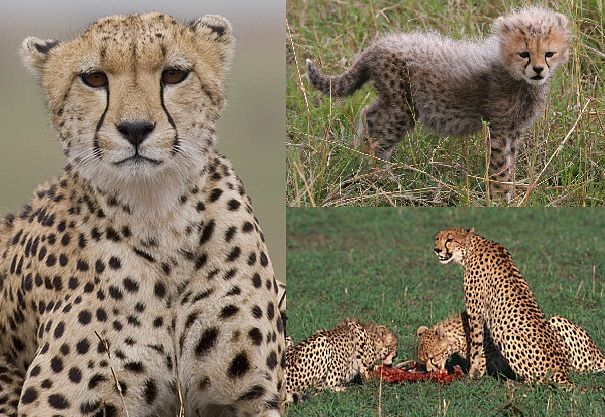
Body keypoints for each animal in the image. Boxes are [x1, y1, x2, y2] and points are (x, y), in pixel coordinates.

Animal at [0, 13, 284, 416]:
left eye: (174, 74)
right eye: (94, 78)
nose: (135, 129)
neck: (159, 217)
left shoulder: (250, 397)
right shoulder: (58, 403)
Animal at [310, 6, 568, 202]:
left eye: (549, 53)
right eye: (524, 53)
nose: (538, 70)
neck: (517, 77)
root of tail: (379, 45)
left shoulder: (513, 131)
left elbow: (510, 165)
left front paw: (511, 194)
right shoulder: (499, 129)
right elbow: (501, 168)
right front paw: (501, 199)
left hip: (393, 101)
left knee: (369, 115)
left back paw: (361, 160)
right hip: (402, 107)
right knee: (378, 136)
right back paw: (382, 177)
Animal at [434, 228, 572, 384]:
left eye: (449, 239)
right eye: (437, 238)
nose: (437, 250)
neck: (470, 248)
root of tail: (563, 372)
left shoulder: (475, 312)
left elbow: (475, 345)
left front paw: (472, 374)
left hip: (507, 333)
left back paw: (513, 382)